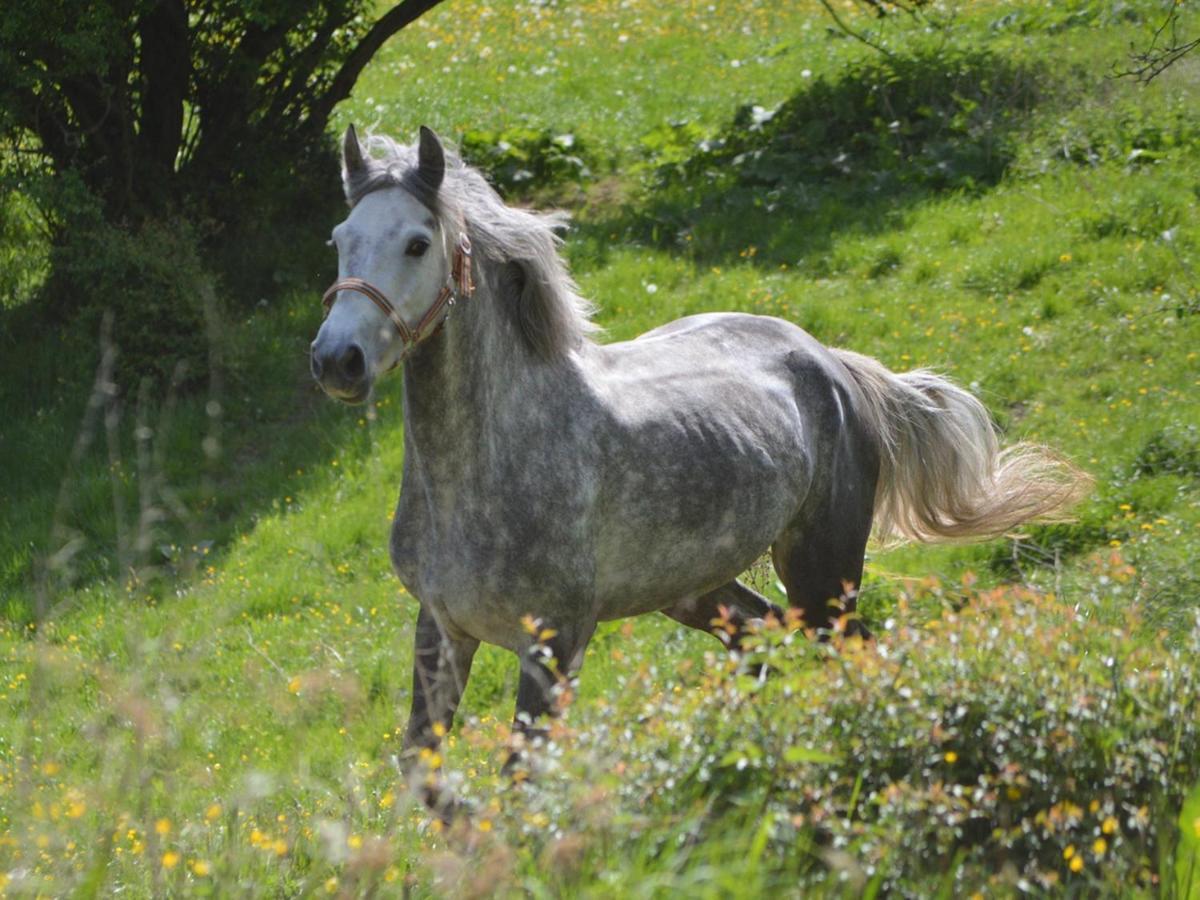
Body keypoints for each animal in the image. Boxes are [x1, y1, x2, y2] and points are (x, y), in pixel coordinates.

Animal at [307, 121, 1089, 787]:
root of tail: (830, 362)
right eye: (340, 238)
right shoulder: (442, 628)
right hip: (696, 587)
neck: (483, 471)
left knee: (851, 646)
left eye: (417, 243)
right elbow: (423, 773)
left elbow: (521, 780)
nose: (337, 361)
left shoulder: (554, 641)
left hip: (821, 572)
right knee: (764, 640)